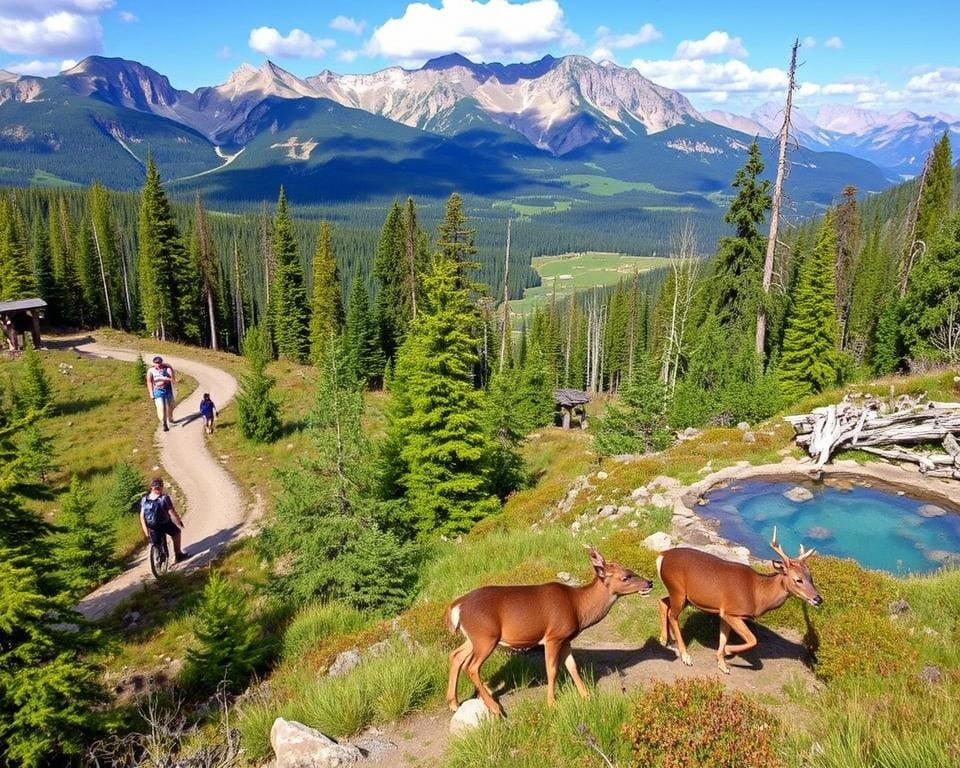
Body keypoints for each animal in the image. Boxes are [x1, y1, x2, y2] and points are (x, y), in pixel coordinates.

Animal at [448, 544, 656, 712]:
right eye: (626, 577)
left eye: (630, 570)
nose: (650, 582)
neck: (578, 607)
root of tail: (457, 606)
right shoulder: (553, 636)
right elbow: (552, 669)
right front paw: (552, 703)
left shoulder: (566, 639)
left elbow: (572, 667)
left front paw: (586, 696)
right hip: (486, 636)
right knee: (471, 666)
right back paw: (494, 708)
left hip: (474, 638)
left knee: (456, 655)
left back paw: (454, 703)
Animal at [656, 528, 820, 672]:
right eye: (798, 580)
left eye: (810, 577)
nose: (818, 599)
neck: (756, 594)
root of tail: (661, 556)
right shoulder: (733, 611)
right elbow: (753, 640)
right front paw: (727, 652)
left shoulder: (724, 612)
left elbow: (723, 636)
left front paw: (722, 664)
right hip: (678, 590)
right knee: (673, 615)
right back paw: (685, 656)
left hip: (682, 595)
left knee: (662, 601)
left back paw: (665, 639)